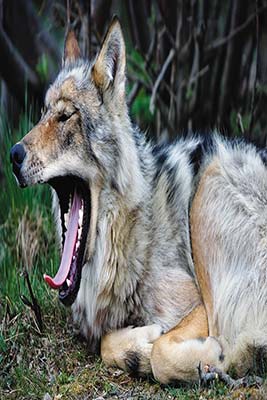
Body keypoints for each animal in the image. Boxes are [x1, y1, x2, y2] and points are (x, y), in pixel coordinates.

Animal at [9, 18, 267, 382]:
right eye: (42, 114)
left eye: (65, 117)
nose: (13, 154)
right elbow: (107, 344)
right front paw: (138, 345)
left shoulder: (198, 305)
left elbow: (163, 353)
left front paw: (198, 357)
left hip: (211, 179)